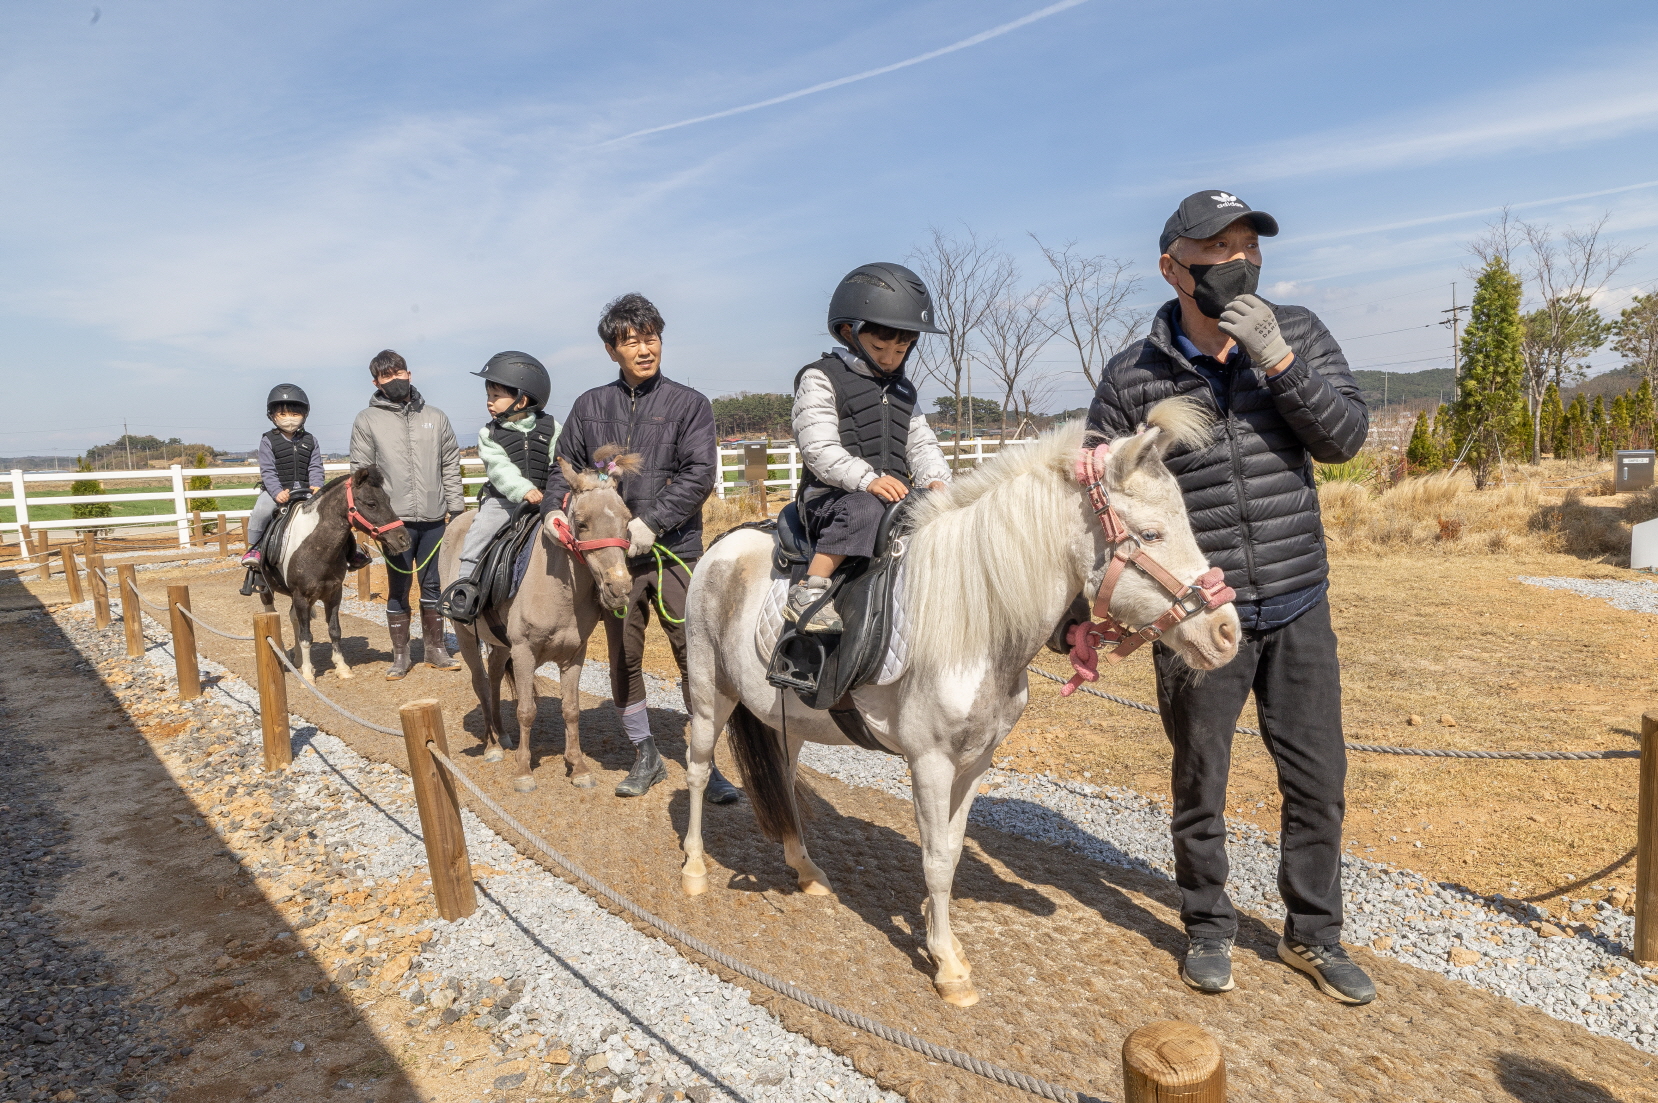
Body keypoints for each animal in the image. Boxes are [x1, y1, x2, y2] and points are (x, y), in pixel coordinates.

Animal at [256, 466, 412, 683]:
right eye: (371, 503)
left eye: (388, 500)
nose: (404, 539)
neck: (315, 546)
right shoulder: (302, 596)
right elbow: (307, 636)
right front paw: (307, 675)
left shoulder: (333, 594)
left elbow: (334, 631)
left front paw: (342, 668)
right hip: (266, 588)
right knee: (272, 612)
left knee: (293, 618)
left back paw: (297, 659)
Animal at [437, 446, 637, 792]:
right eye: (581, 523)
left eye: (626, 520)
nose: (619, 588)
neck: (557, 589)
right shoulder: (524, 652)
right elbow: (526, 710)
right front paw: (523, 771)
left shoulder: (574, 655)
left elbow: (571, 709)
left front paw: (578, 767)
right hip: (466, 636)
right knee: (480, 682)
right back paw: (492, 746)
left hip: (500, 644)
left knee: (493, 677)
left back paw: (502, 735)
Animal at [679, 400, 1241, 1007]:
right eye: (1152, 533)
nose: (1227, 632)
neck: (978, 618)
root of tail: (724, 544)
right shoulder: (930, 761)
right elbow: (935, 858)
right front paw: (948, 966)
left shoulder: (976, 761)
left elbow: (950, 846)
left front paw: (935, 935)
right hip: (709, 693)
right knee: (697, 768)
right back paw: (693, 870)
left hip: (787, 721)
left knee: (782, 782)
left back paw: (805, 871)